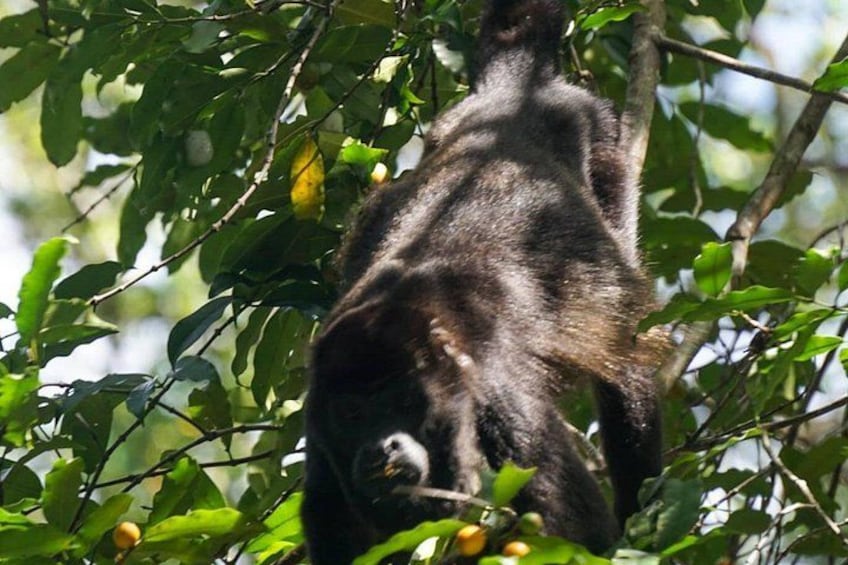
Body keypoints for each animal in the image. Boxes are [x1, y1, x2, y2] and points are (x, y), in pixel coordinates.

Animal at [301, 0, 665, 562]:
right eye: (353, 413)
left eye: (403, 402)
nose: (382, 447)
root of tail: (511, 95)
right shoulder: (320, 450)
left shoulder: (500, 403)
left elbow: (579, 530)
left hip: (606, 154)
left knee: (624, 360)